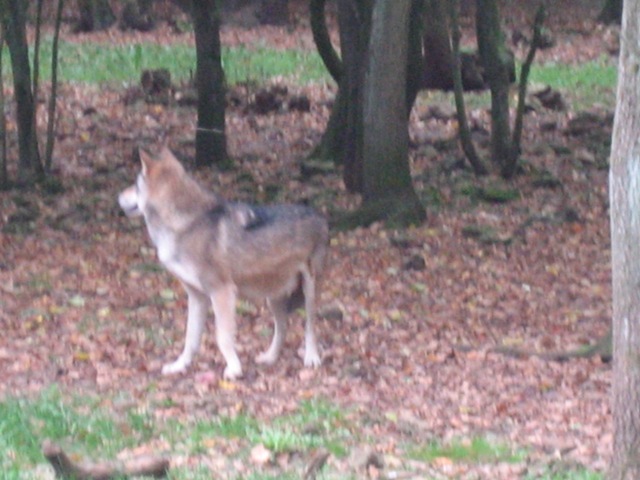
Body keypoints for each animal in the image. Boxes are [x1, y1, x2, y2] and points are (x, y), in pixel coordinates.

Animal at [118, 146, 330, 378]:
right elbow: (190, 339)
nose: (119, 196)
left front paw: (234, 369)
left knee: (310, 327)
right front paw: (179, 366)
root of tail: (320, 216)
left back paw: (311, 358)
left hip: (309, 291)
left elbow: (223, 337)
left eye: (136, 185)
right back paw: (269, 358)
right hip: (272, 297)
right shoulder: (197, 296)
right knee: (282, 328)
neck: (186, 224)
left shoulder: (222, 292)